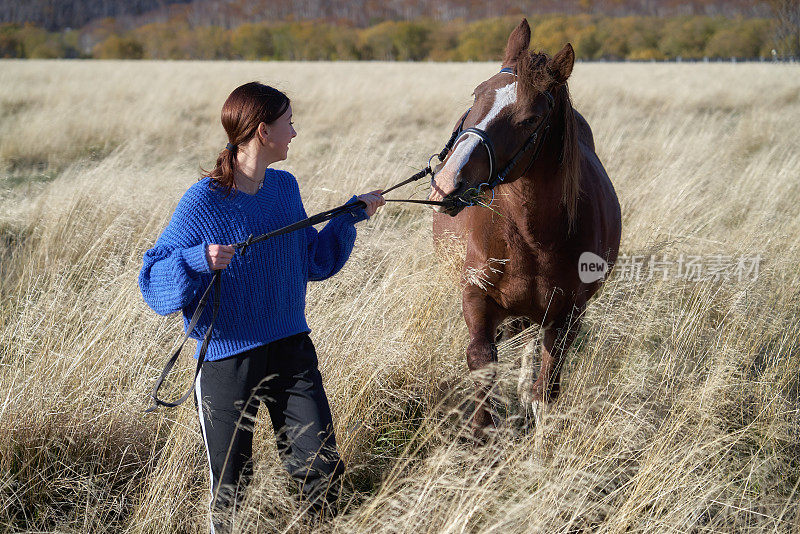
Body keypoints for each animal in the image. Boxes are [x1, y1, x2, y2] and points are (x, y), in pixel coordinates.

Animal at [428, 19, 620, 440]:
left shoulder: (567, 315)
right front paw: (483, 433)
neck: (532, 237)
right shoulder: (476, 297)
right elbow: (482, 361)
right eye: (477, 94)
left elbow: (546, 387)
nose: (447, 182)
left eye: (531, 118)